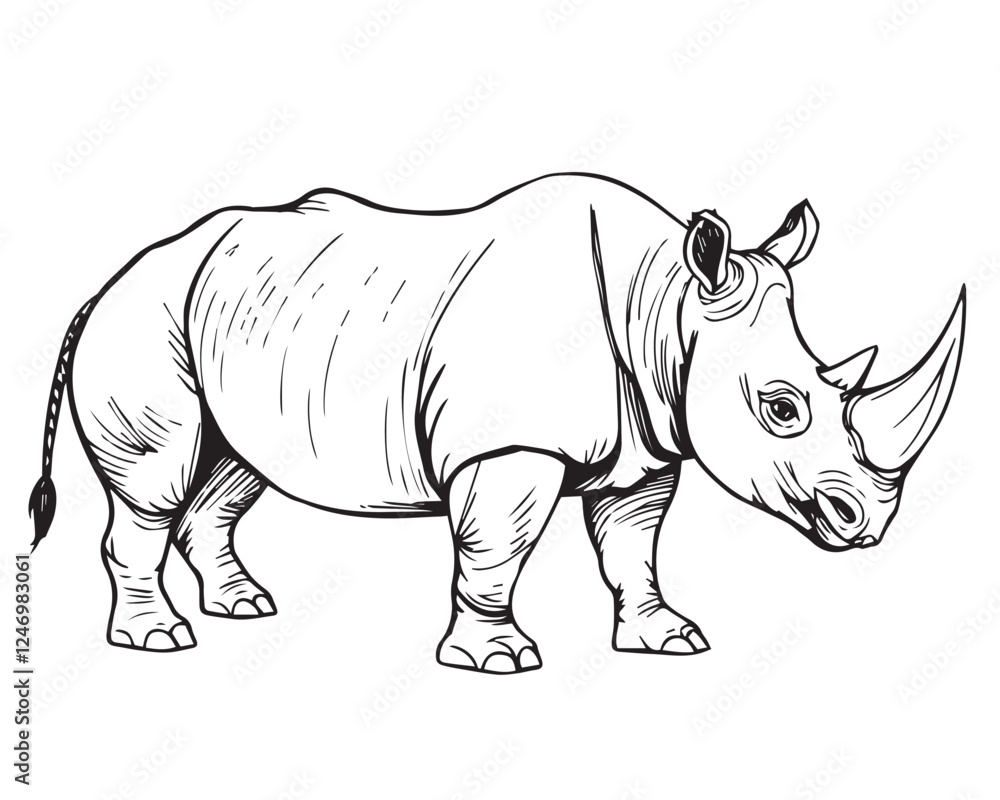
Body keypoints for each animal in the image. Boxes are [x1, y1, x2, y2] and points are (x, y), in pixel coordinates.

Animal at [29, 173, 965, 673]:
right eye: (783, 407)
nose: (867, 524)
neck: (662, 304)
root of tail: (108, 277)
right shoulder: (509, 445)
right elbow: (496, 548)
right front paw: (496, 659)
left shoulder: (649, 442)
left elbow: (634, 545)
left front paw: (667, 639)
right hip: (144, 315)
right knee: (154, 484)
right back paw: (160, 640)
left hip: (232, 324)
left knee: (234, 471)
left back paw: (246, 609)